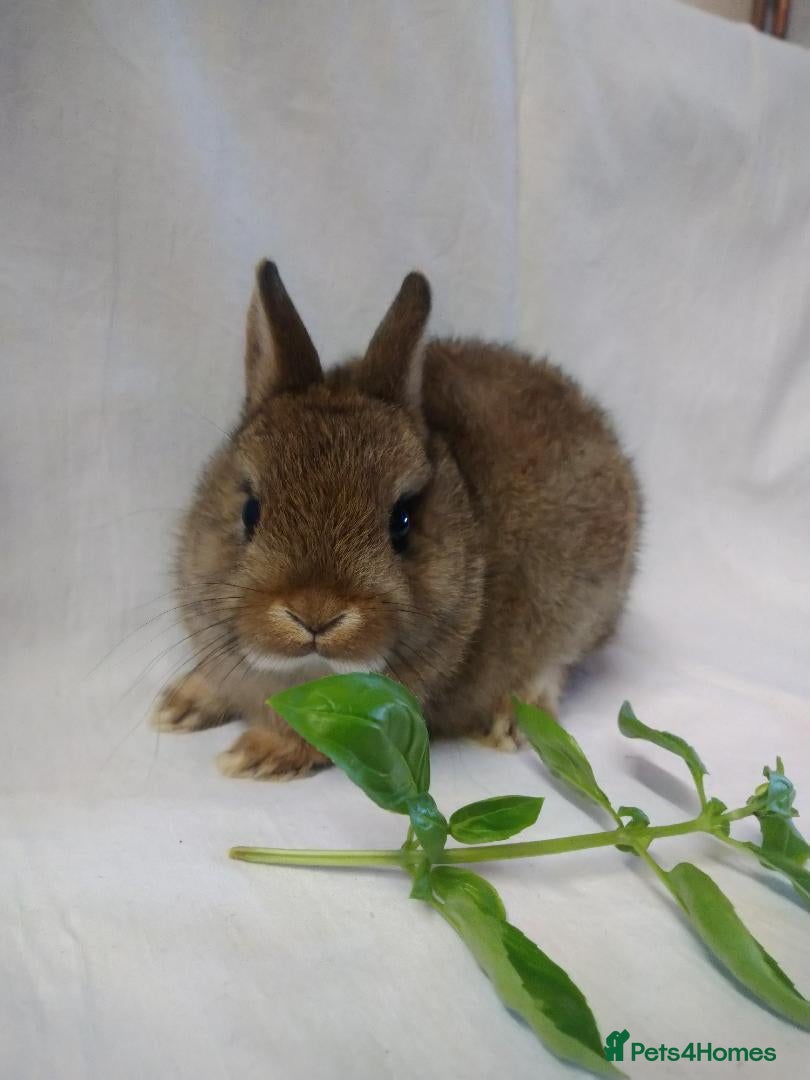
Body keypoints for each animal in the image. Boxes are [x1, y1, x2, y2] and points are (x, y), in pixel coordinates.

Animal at [152, 261, 641, 780]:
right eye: (250, 511)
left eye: (402, 521)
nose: (315, 615)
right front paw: (178, 705)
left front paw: (255, 756)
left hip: (586, 601)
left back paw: (509, 722)